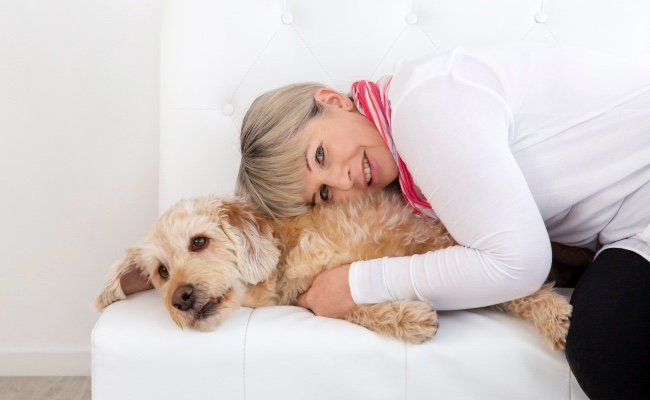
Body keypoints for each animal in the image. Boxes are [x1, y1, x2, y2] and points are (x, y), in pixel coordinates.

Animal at [93, 192, 568, 348]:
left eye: (199, 241)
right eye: (160, 271)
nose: (181, 297)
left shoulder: (432, 240)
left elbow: (521, 287)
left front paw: (556, 315)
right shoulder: (314, 296)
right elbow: (352, 306)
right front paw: (412, 316)